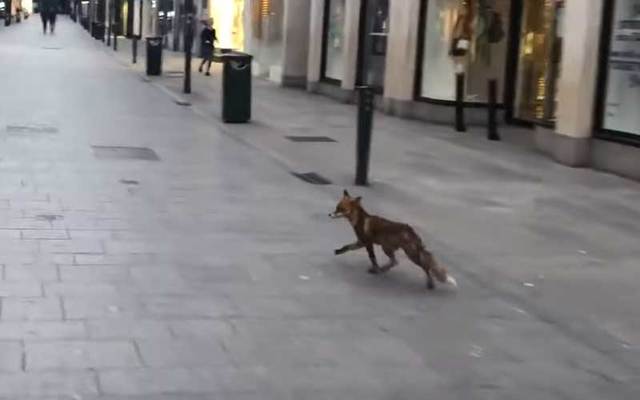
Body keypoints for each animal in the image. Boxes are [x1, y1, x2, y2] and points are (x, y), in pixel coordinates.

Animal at [328, 191, 458, 290]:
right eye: (336, 207)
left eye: (340, 209)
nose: (329, 214)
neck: (360, 220)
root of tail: (411, 230)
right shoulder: (361, 242)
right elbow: (347, 247)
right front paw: (338, 251)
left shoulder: (367, 243)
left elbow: (372, 258)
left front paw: (375, 268)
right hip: (388, 248)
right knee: (395, 262)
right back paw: (383, 269)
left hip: (408, 254)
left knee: (424, 267)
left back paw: (430, 284)